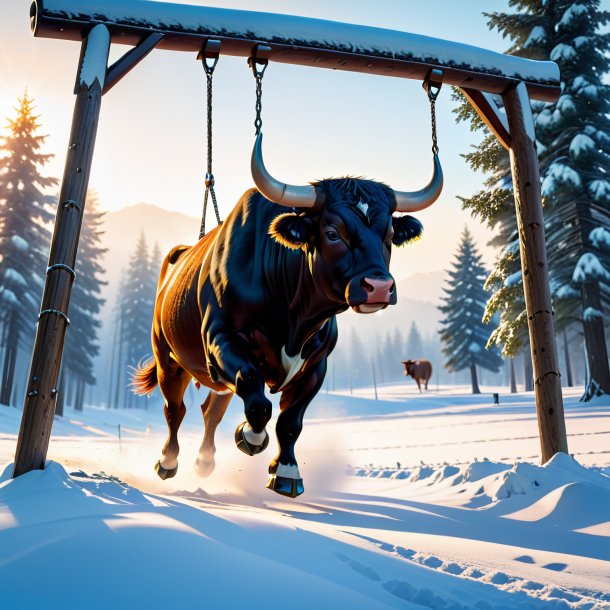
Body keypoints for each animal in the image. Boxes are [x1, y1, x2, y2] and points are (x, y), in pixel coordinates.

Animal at [131, 133, 440, 494]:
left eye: (389, 235)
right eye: (332, 233)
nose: (378, 286)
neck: (294, 319)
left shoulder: (316, 364)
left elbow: (291, 421)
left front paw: (287, 472)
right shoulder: (221, 341)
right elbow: (258, 402)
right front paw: (249, 436)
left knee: (211, 410)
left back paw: (205, 462)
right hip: (168, 358)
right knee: (175, 410)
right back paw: (167, 462)